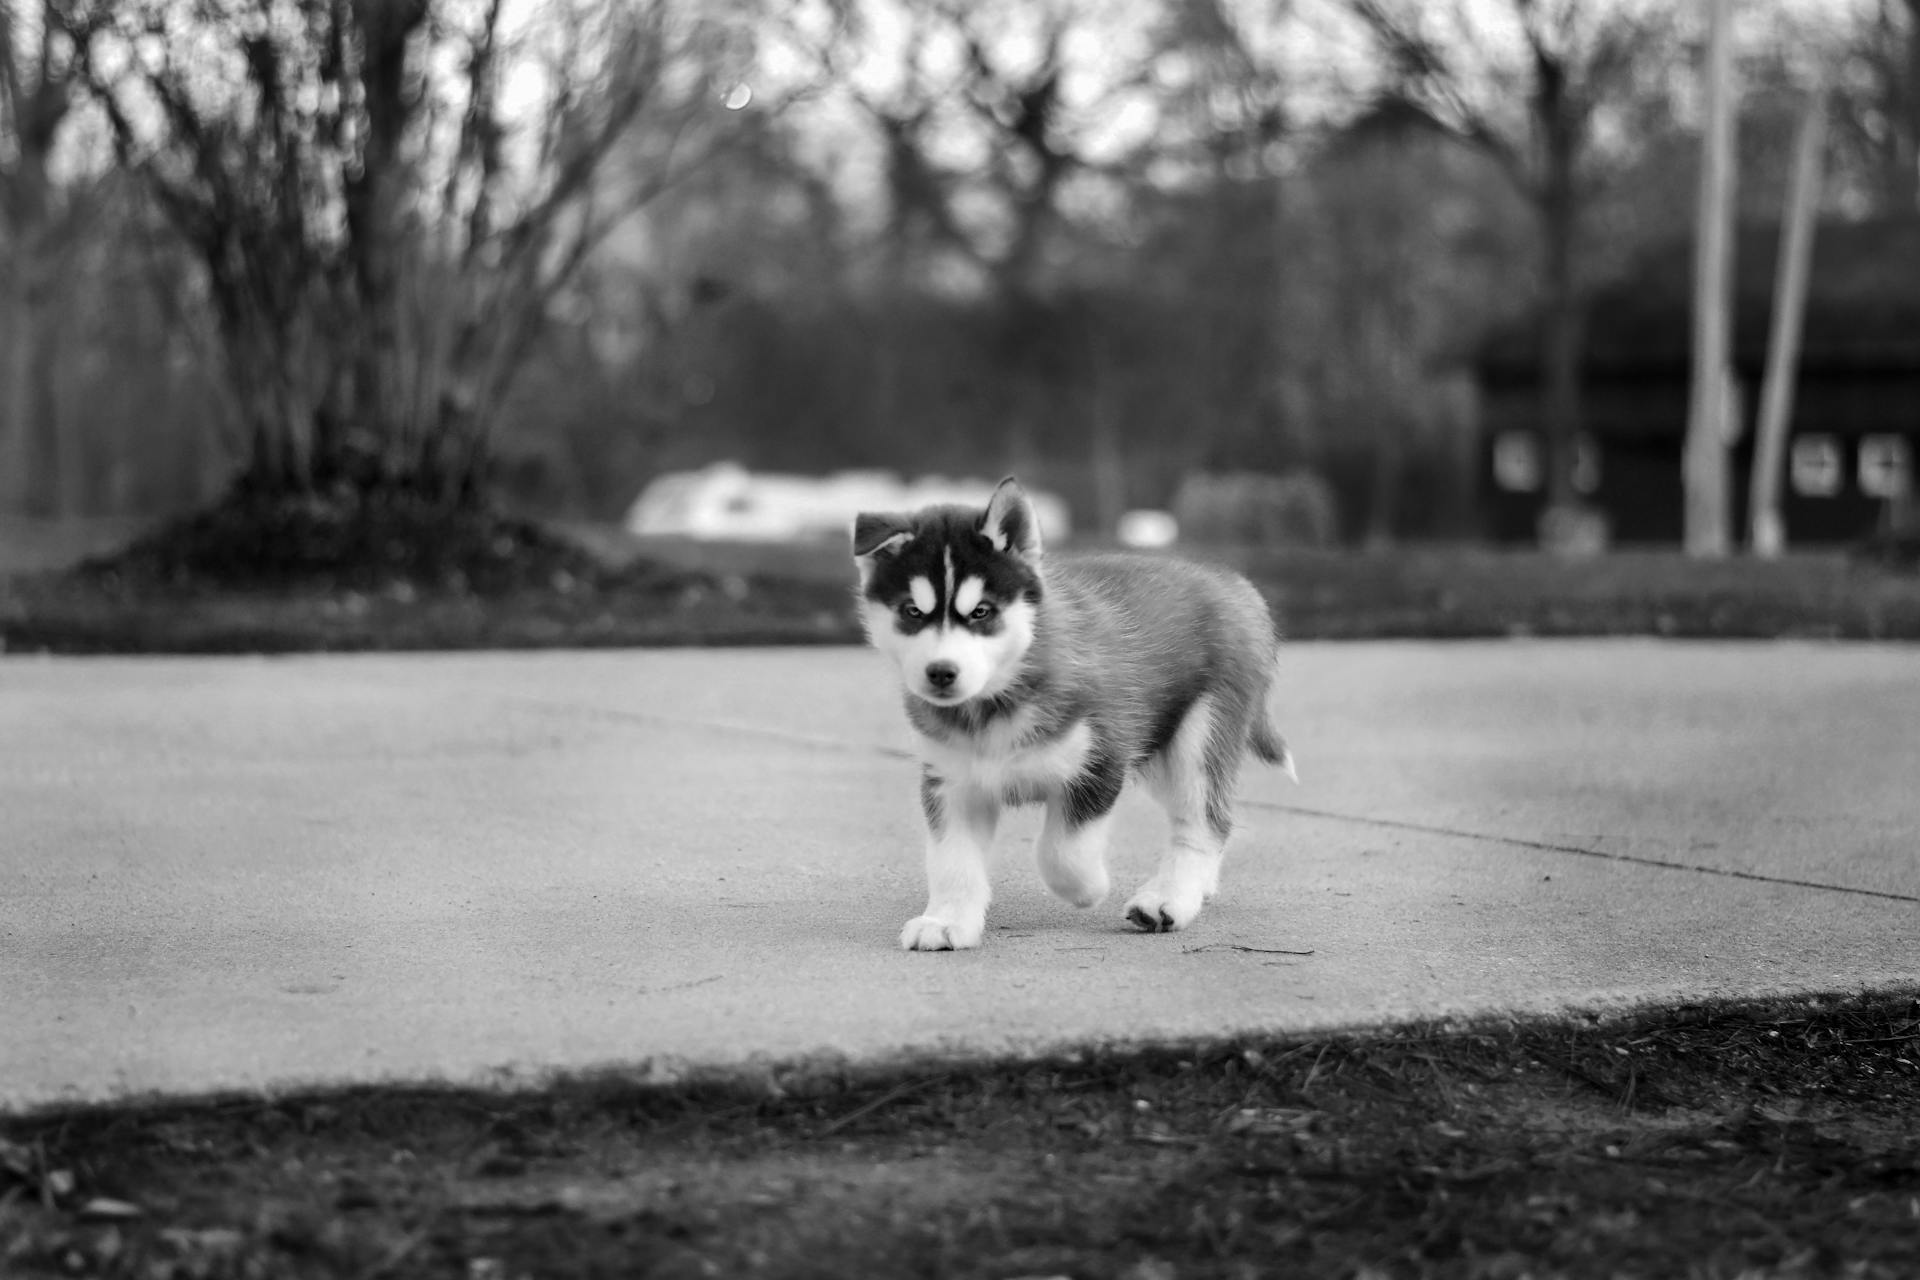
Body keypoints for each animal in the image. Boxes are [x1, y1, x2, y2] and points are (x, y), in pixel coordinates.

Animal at [852, 479, 1290, 951]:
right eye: (912, 612)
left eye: (982, 611)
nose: (941, 672)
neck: (995, 703)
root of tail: (1231, 580)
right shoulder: (952, 782)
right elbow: (952, 861)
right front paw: (947, 921)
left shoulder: (1101, 761)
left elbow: (1060, 849)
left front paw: (1087, 889)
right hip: (1159, 752)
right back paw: (1198, 888)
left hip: (1199, 737)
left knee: (1204, 821)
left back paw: (1167, 899)